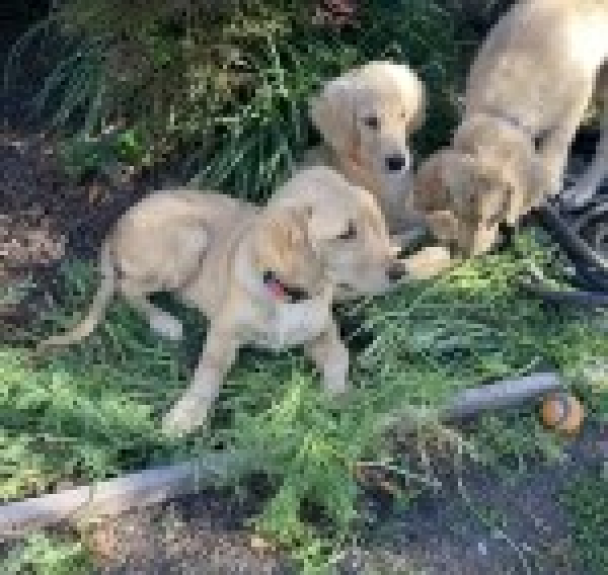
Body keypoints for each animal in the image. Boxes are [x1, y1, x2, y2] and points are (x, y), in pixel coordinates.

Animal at [36, 166, 446, 436]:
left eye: (375, 223)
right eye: (346, 233)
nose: (394, 273)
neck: (289, 295)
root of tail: (118, 221)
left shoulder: (323, 329)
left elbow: (340, 358)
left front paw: (339, 400)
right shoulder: (223, 334)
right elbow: (207, 374)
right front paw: (186, 413)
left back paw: (428, 253)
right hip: (190, 236)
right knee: (128, 288)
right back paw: (164, 321)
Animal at [414, 0, 608, 254]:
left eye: (495, 217)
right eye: (457, 212)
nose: (468, 255)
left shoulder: (575, 102)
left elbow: (556, 146)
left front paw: (551, 183)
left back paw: (581, 191)